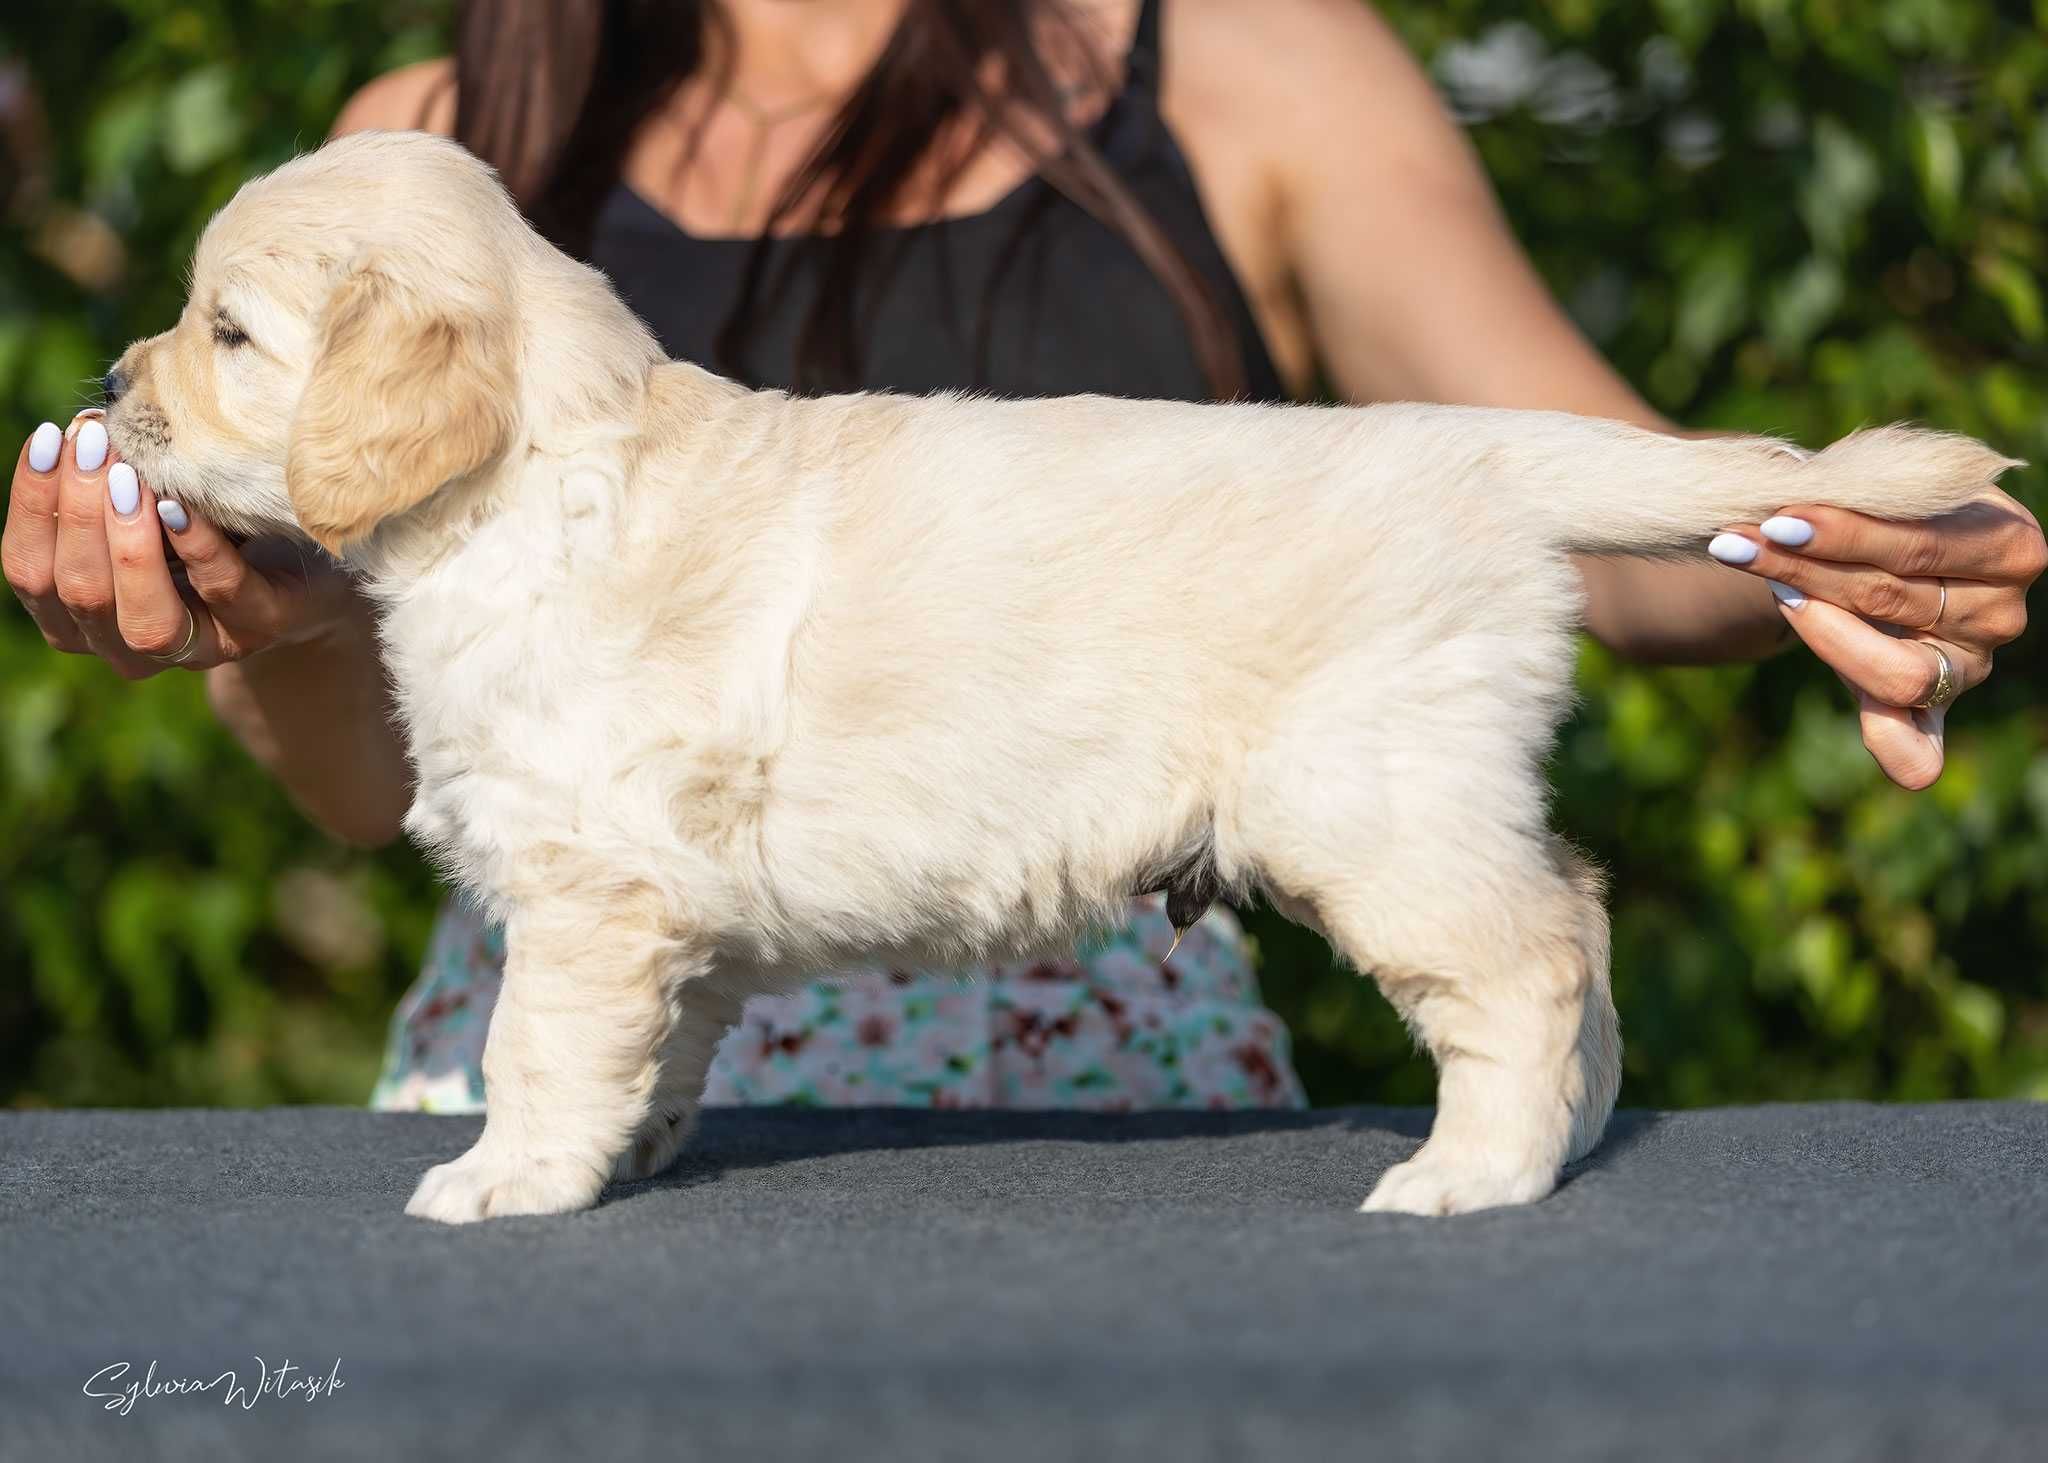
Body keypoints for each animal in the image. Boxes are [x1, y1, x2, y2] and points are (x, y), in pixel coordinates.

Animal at [108, 134, 2015, 1221]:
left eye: (228, 334)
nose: (113, 383)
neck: (530, 477)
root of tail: (1486, 451)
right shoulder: (670, 911)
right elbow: (662, 1049)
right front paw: (628, 1154)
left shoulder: (590, 885)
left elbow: (535, 1047)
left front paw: (507, 1177)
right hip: (1437, 783)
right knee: (1583, 909)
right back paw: (1565, 1137)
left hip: (1368, 801)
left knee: (1531, 955)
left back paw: (1470, 1175)